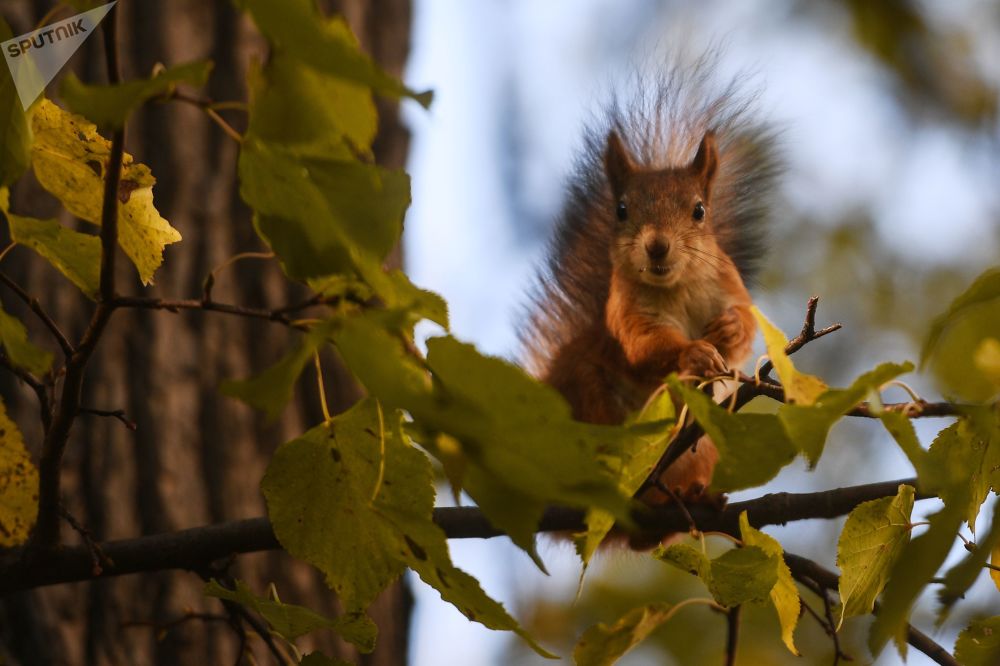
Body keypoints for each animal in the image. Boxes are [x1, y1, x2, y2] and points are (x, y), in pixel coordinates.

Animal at [524, 58, 780, 508]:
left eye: (699, 210)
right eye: (621, 210)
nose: (657, 247)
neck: (679, 287)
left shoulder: (730, 286)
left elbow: (747, 329)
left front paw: (729, 328)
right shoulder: (626, 311)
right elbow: (644, 345)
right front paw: (694, 353)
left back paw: (695, 496)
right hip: (590, 400)